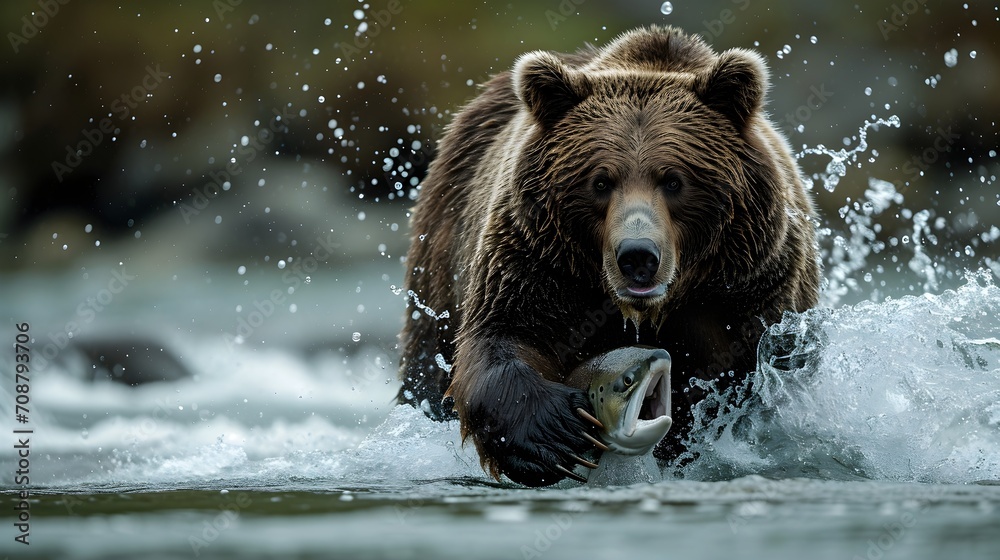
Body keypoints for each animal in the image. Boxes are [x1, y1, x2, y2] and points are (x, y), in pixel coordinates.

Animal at [396, 25, 820, 487]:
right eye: (600, 181)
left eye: (674, 180)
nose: (637, 256)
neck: (644, 311)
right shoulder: (539, 262)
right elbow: (501, 335)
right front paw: (556, 434)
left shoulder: (749, 289)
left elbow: (757, 373)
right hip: (442, 252)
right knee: (428, 362)